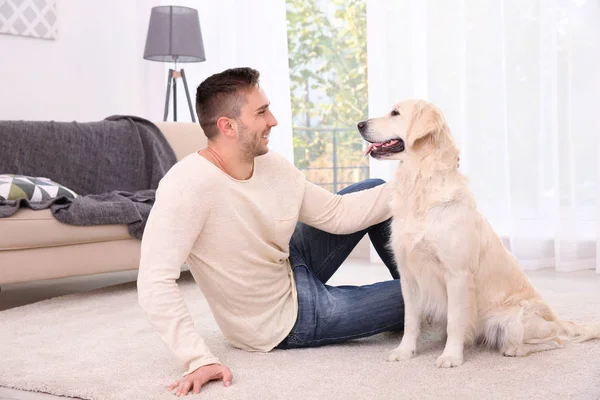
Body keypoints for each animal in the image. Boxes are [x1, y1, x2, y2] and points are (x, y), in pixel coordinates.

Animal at [358, 98, 596, 368]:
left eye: (395, 113)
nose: (359, 124)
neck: (420, 185)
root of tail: (553, 319)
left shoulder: (457, 275)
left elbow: (455, 321)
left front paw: (451, 356)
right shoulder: (409, 276)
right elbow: (411, 321)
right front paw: (405, 351)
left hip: (514, 320)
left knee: (555, 339)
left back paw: (513, 349)